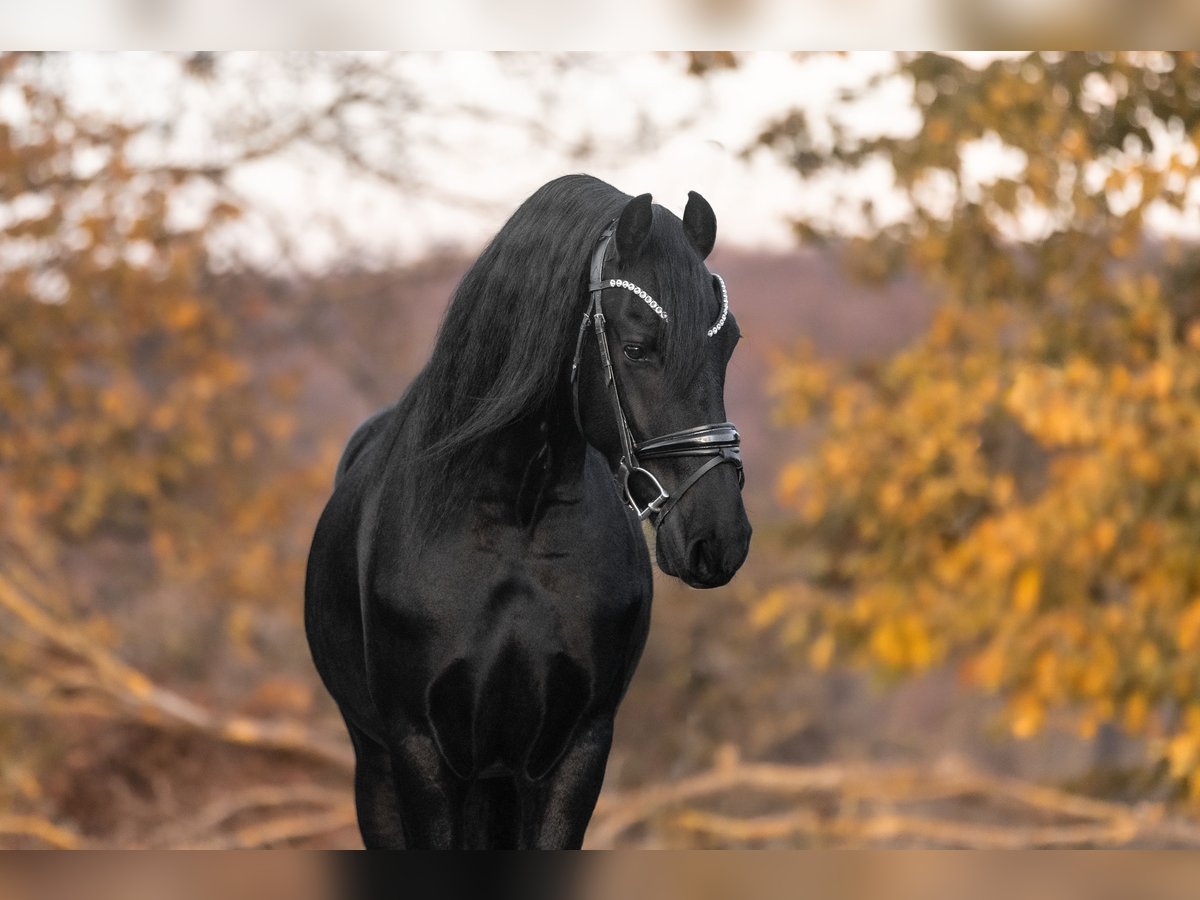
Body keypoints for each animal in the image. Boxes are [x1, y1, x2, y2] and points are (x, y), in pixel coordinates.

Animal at [304, 174, 751, 849]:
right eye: (636, 347)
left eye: (729, 344)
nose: (719, 537)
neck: (515, 520)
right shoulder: (419, 750)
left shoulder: (576, 748)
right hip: (379, 767)